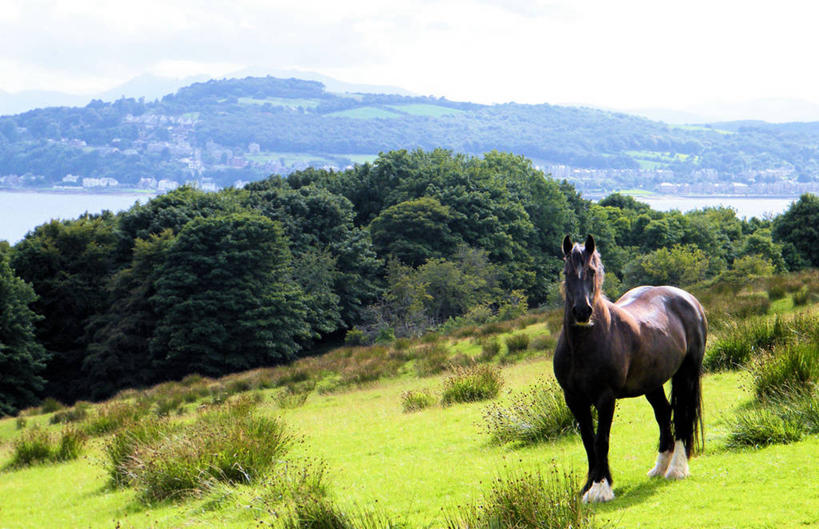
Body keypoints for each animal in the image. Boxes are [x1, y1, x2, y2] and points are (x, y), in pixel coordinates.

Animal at [556, 235, 708, 504]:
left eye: (592, 271)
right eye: (567, 272)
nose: (582, 312)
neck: (582, 345)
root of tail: (688, 299)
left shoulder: (605, 398)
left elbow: (601, 441)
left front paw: (601, 488)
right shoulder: (574, 399)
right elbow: (588, 442)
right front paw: (588, 487)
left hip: (686, 374)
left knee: (681, 415)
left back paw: (677, 469)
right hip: (652, 383)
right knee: (663, 413)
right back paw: (660, 467)